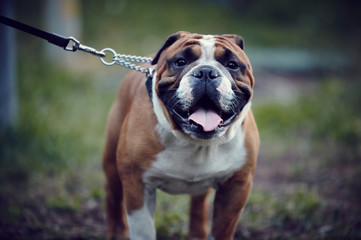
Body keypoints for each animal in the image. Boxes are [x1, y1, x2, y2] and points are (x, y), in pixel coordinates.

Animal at [101, 31, 258, 240]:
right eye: (181, 61)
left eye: (232, 64)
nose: (206, 72)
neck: (195, 143)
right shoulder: (137, 184)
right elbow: (143, 229)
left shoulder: (236, 187)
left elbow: (222, 228)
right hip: (112, 165)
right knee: (113, 197)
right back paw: (115, 232)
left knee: (199, 203)